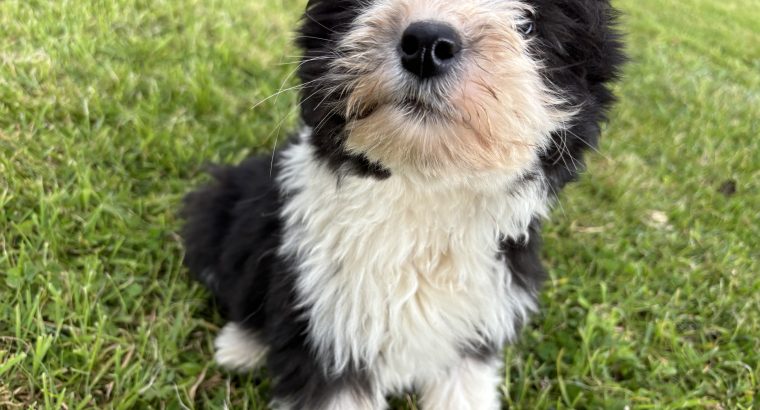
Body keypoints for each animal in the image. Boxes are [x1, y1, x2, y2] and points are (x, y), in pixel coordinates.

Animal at [183, 0, 624, 406]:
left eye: (528, 23)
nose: (427, 44)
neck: (423, 193)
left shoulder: (474, 325)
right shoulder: (328, 326)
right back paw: (241, 345)